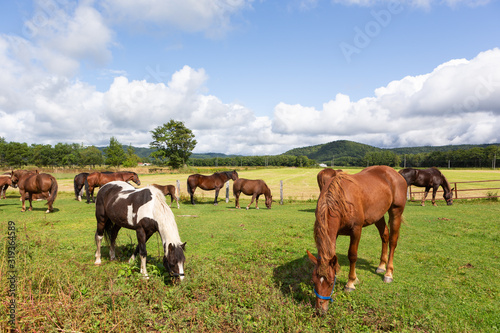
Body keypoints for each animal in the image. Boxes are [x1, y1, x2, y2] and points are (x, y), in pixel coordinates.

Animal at [306, 166, 408, 314]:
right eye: (314, 281)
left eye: (331, 283)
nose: (321, 310)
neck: (340, 200)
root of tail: (395, 173)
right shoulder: (334, 234)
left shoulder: (356, 230)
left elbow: (352, 255)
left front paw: (351, 283)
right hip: (378, 216)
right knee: (385, 236)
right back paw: (381, 266)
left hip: (396, 212)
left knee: (393, 241)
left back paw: (388, 273)